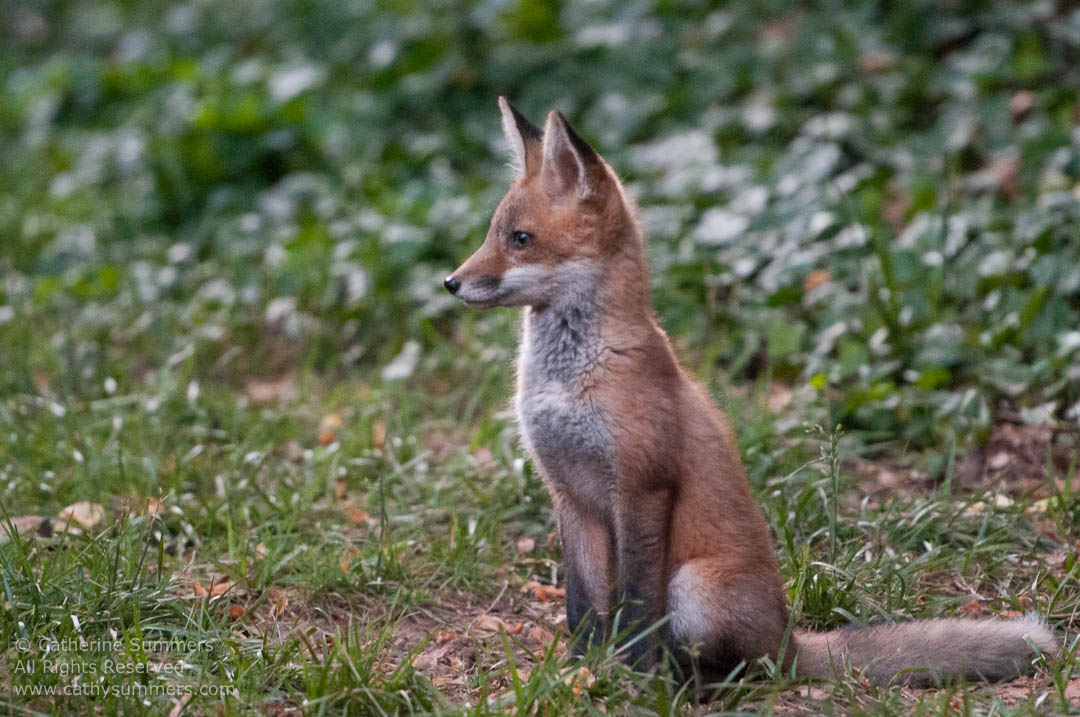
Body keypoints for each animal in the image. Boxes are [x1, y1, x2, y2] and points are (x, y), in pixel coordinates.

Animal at [443, 97, 1058, 687]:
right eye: (491, 235)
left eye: (520, 240)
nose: (450, 282)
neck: (570, 377)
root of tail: (787, 639)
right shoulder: (570, 495)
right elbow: (583, 607)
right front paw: (581, 671)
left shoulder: (643, 485)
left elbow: (637, 607)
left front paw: (631, 679)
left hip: (694, 589)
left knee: (745, 670)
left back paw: (690, 685)